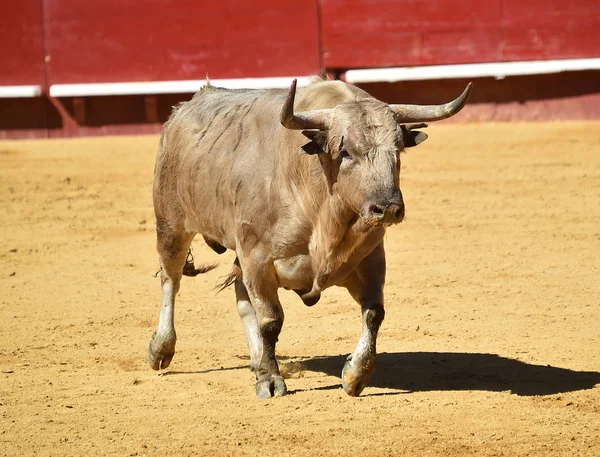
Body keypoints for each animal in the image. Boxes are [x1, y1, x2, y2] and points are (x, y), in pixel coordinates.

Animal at [148, 76, 472, 398]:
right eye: (345, 152)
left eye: (398, 150)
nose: (388, 208)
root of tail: (185, 106)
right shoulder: (257, 259)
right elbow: (271, 320)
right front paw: (270, 379)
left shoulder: (370, 258)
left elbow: (374, 314)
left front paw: (355, 375)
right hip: (171, 225)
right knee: (171, 280)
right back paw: (161, 348)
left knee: (241, 300)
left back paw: (255, 359)